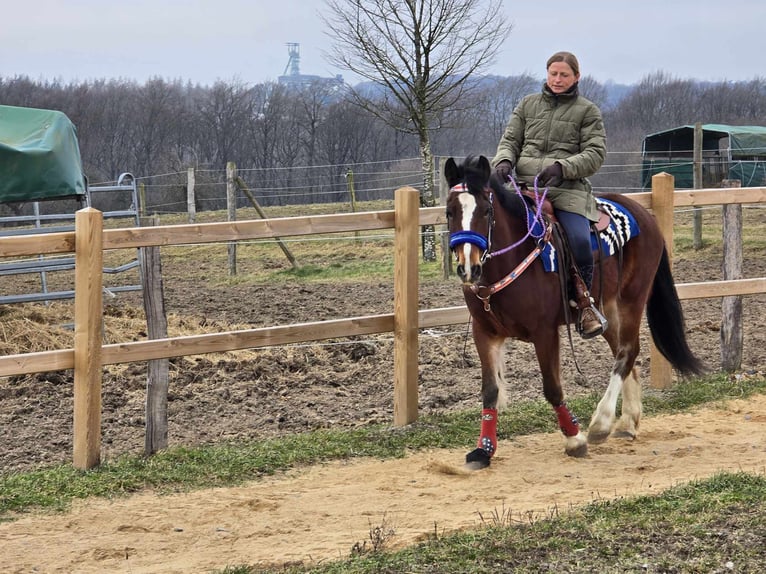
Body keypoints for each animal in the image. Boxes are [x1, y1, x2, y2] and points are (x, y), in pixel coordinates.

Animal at [444, 155, 708, 470]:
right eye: (449, 212)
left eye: (485, 210)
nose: (468, 268)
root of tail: (642, 214)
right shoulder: (485, 333)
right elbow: (490, 391)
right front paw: (483, 450)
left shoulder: (544, 332)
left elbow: (552, 387)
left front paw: (574, 438)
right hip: (607, 310)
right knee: (626, 352)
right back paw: (627, 422)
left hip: (631, 300)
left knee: (627, 351)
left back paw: (602, 423)